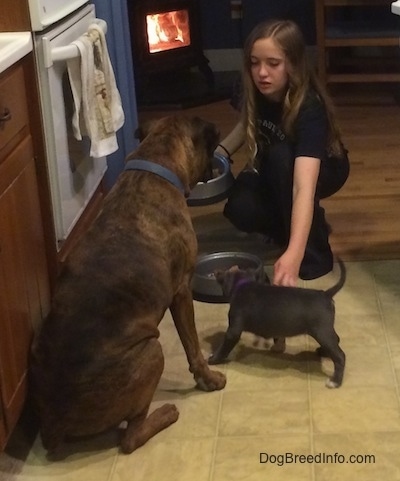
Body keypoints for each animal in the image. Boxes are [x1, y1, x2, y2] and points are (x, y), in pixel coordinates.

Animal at [30, 115, 227, 454]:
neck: (156, 162)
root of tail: (54, 425)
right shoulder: (181, 291)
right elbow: (193, 346)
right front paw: (209, 379)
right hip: (152, 351)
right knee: (130, 438)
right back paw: (165, 414)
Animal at [209, 260, 346, 388]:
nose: (216, 271)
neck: (243, 284)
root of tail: (326, 294)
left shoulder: (233, 331)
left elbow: (224, 347)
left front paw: (213, 359)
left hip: (322, 332)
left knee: (340, 356)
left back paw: (335, 381)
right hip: (325, 331)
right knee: (336, 339)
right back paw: (323, 352)